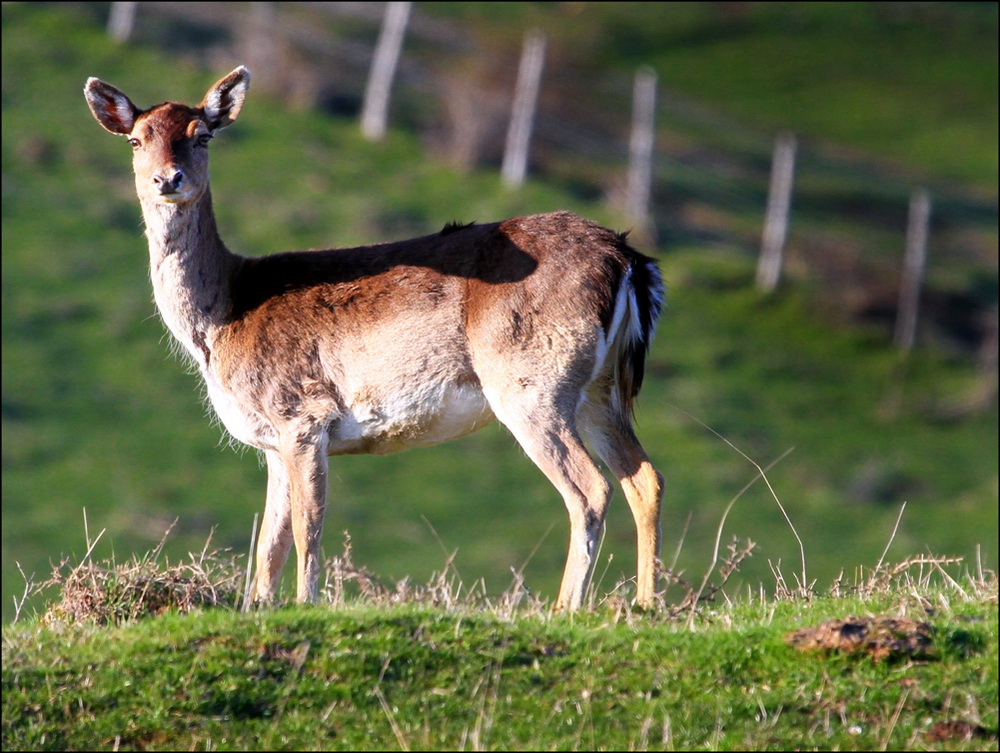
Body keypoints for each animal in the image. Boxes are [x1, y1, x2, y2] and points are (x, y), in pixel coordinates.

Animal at [86, 66, 664, 612]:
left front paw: (307, 605)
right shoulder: (271, 440)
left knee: (590, 488)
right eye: (136, 139)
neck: (224, 316)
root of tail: (627, 261)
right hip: (599, 387)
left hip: (531, 381)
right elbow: (269, 543)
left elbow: (307, 528)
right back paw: (644, 603)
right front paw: (260, 608)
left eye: (202, 135)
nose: (168, 178)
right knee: (644, 478)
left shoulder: (302, 414)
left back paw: (567, 607)